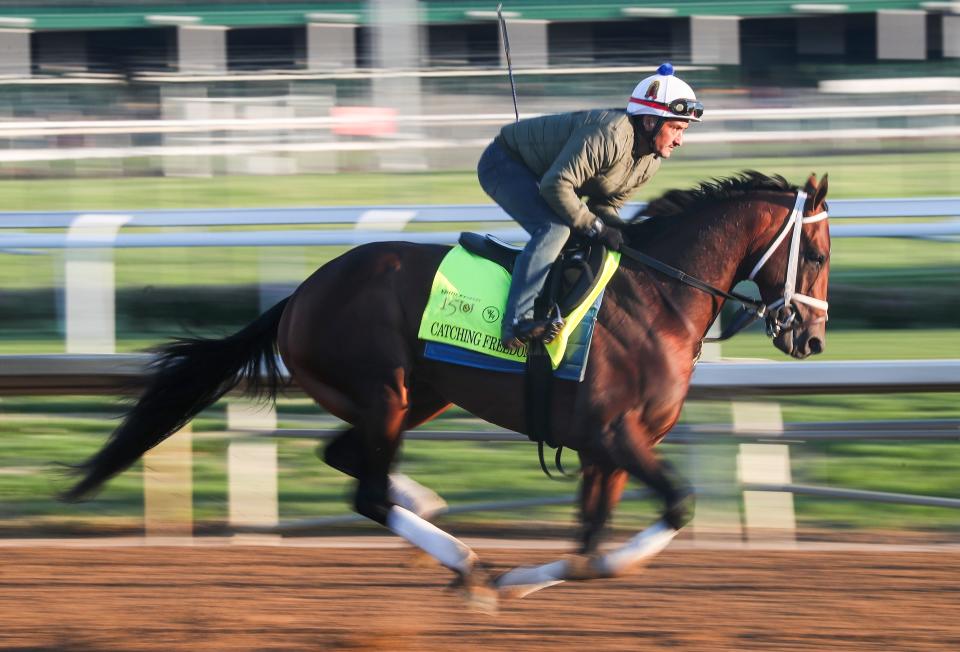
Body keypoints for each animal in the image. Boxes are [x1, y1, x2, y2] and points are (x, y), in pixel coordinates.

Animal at [60, 171, 828, 608]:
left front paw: (536, 577)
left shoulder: (602, 449)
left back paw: (431, 513)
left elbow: (591, 542)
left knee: (349, 461)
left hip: (419, 395)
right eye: (817, 253)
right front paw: (514, 581)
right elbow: (672, 507)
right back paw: (461, 557)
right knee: (367, 490)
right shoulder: (616, 435)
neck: (656, 298)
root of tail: (301, 294)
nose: (810, 340)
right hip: (385, 389)